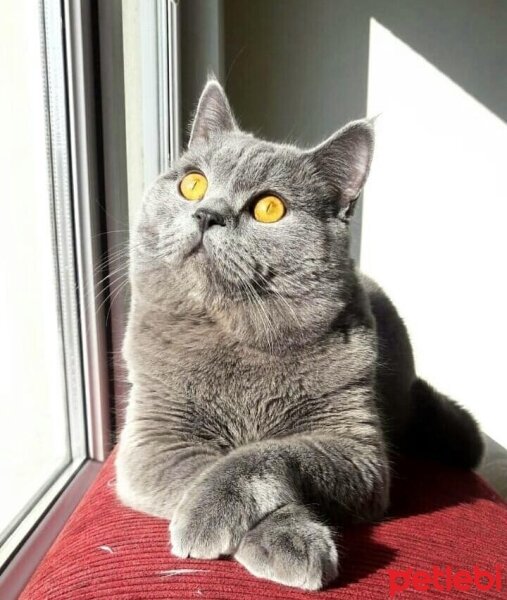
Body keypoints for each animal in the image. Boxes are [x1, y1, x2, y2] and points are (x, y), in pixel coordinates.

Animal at [116, 79, 484, 592]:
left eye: (269, 208)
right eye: (193, 183)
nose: (207, 214)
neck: (236, 340)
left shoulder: (358, 448)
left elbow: (269, 454)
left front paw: (247, 523)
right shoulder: (153, 439)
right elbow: (203, 466)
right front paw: (285, 537)